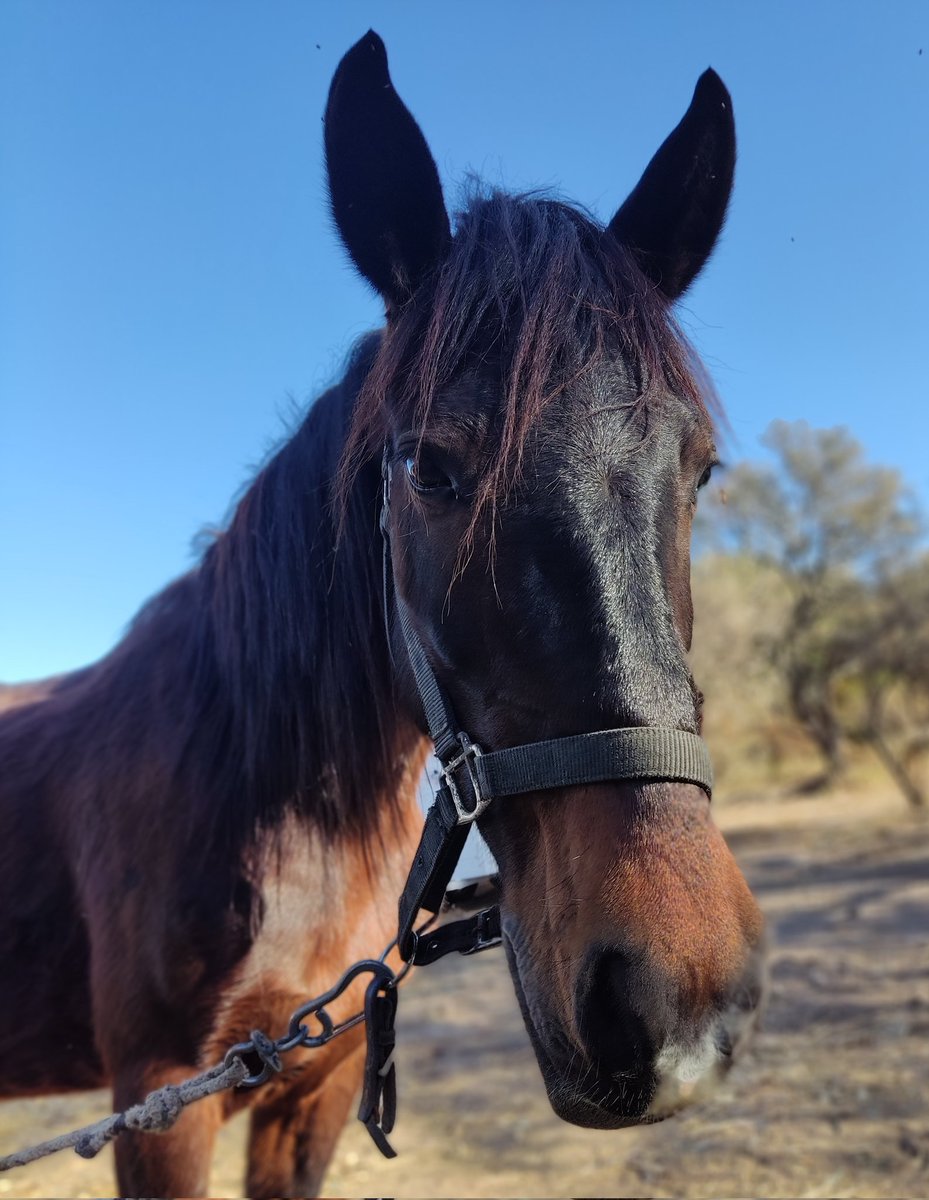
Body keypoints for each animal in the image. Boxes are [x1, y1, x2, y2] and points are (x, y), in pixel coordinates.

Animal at [0, 30, 765, 1199]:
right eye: (426, 468)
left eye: (701, 468)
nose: (669, 1007)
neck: (261, 804)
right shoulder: (160, 1105)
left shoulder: (308, 1096)